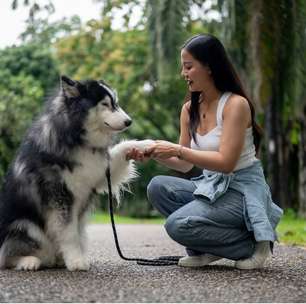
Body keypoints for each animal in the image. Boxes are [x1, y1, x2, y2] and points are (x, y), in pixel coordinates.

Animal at [0, 75, 153, 270]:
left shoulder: (99, 174)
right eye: (105, 104)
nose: (129, 121)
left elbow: (122, 148)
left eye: (116, 103)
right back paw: (29, 261)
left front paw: (145, 145)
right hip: (25, 225)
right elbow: (69, 233)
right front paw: (76, 261)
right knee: (7, 255)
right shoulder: (60, 196)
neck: (77, 138)